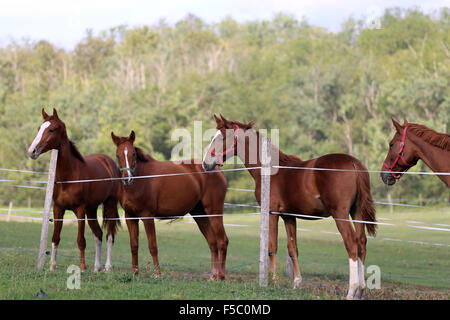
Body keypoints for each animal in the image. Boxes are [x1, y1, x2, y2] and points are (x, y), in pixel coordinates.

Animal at [27, 109, 120, 272]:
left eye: (51, 129)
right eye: (39, 128)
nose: (32, 151)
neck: (68, 177)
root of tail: (109, 162)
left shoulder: (80, 210)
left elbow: (81, 240)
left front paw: (82, 267)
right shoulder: (58, 209)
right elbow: (55, 238)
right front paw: (52, 265)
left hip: (110, 205)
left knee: (109, 236)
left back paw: (107, 266)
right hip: (92, 210)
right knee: (98, 234)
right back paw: (97, 267)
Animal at [109, 130, 229, 280]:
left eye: (133, 154)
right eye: (117, 155)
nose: (127, 178)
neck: (141, 179)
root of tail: (216, 170)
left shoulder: (147, 217)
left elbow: (153, 246)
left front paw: (157, 274)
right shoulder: (130, 217)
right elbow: (134, 245)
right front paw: (135, 273)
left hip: (214, 212)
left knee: (222, 241)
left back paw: (221, 276)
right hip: (199, 214)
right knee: (212, 242)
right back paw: (213, 276)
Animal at [203, 115, 376, 300]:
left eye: (221, 138)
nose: (205, 163)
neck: (270, 170)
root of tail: (354, 164)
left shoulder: (271, 212)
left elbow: (271, 247)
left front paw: (271, 282)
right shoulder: (289, 216)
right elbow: (293, 249)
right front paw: (296, 283)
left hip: (340, 213)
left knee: (351, 243)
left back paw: (352, 290)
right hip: (356, 212)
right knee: (362, 243)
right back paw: (361, 289)